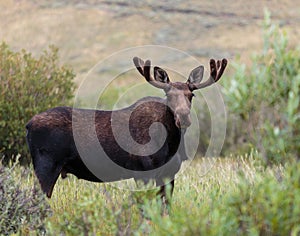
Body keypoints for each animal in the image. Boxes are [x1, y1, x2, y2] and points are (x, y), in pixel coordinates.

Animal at [26, 55, 227, 201]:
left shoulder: (170, 174)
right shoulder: (142, 173)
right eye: (168, 95)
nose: (183, 117)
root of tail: (27, 125)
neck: (171, 142)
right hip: (46, 166)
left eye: (191, 95)